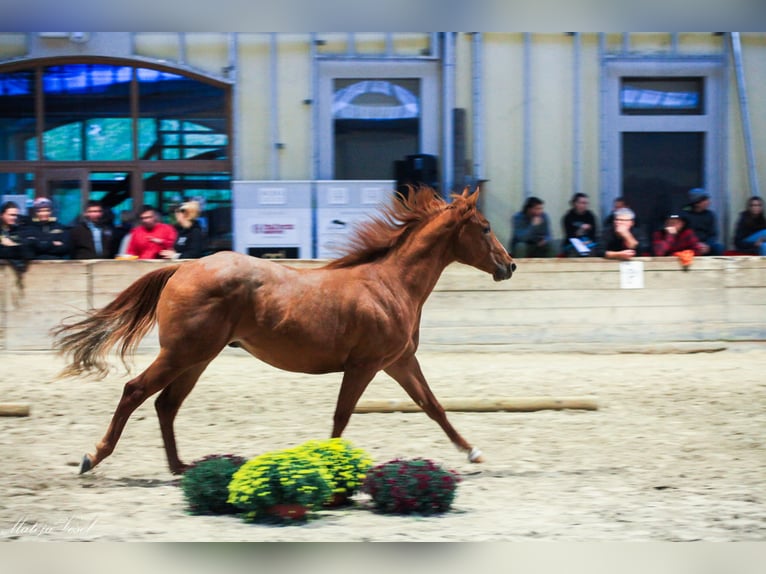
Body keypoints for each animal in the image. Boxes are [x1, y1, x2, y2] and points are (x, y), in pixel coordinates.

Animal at [52, 187, 516, 474]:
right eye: (485, 227)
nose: (509, 265)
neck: (390, 283)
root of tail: (184, 266)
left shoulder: (399, 361)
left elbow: (433, 406)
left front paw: (473, 452)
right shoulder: (365, 365)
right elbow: (342, 415)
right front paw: (329, 466)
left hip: (198, 357)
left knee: (166, 404)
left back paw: (179, 467)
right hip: (182, 353)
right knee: (135, 391)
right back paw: (93, 457)